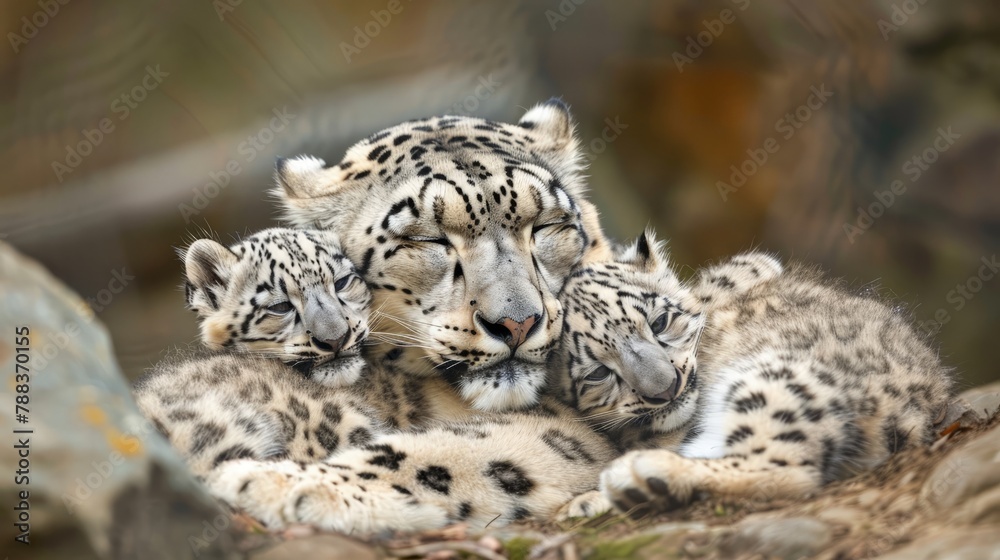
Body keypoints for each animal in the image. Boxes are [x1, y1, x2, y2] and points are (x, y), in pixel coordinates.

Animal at [136, 101, 620, 534]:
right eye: (428, 238)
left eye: (545, 225)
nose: (517, 322)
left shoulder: (567, 427)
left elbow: (451, 453)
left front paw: (274, 484)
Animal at [552, 229, 954, 518]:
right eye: (598, 373)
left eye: (660, 322)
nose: (667, 389)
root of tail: (917, 414)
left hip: (781, 381)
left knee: (785, 469)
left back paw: (638, 477)